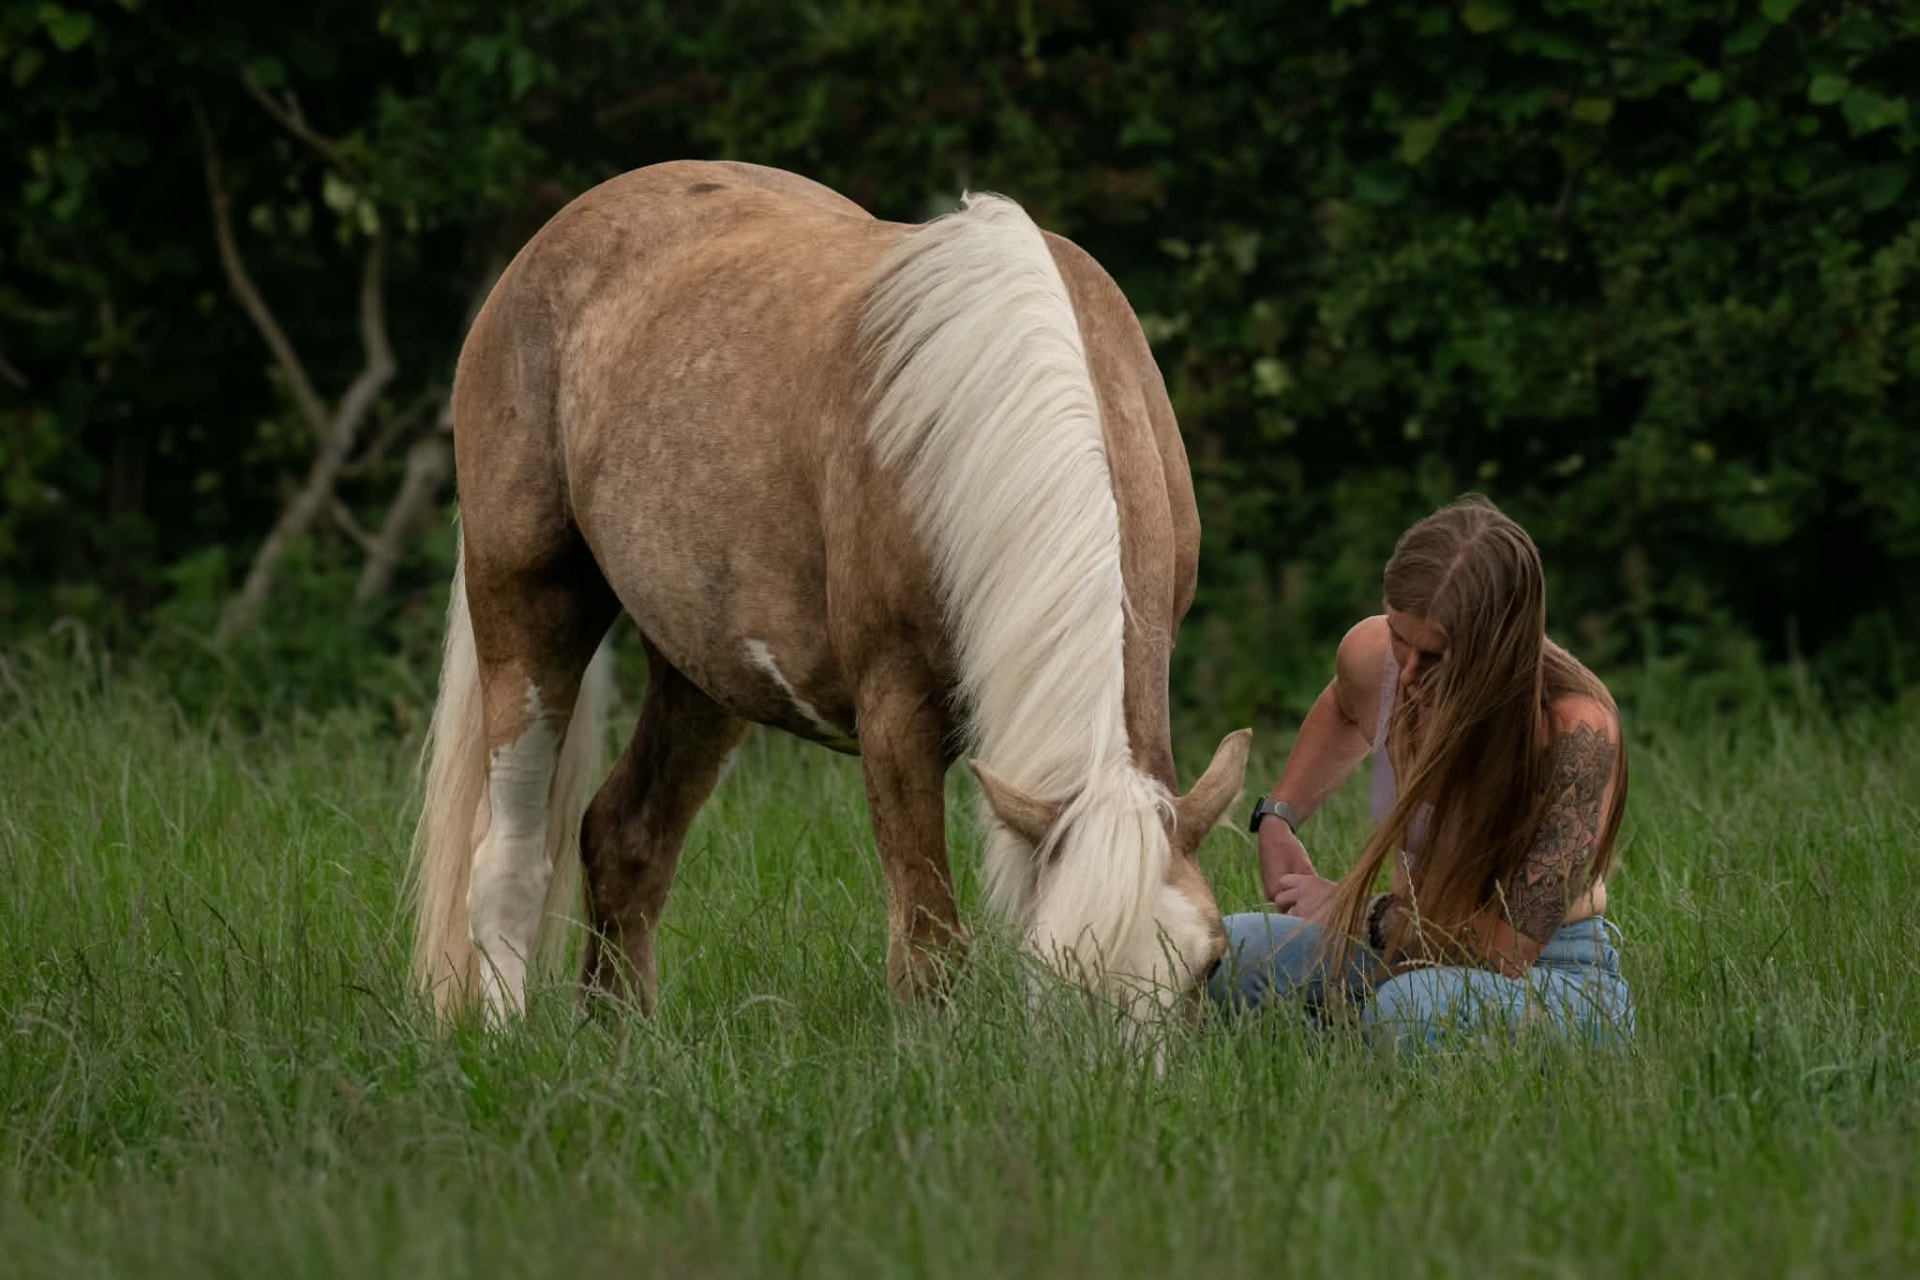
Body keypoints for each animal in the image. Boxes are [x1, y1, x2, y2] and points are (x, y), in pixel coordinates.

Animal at [405, 159, 1252, 1029]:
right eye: (1058, 981)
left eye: (1208, 965)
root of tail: (546, 247)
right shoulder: (896, 714)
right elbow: (929, 948)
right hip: (529, 604)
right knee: (507, 862)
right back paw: (510, 1037)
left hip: (703, 673)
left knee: (625, 836)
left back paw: (619, 1037)